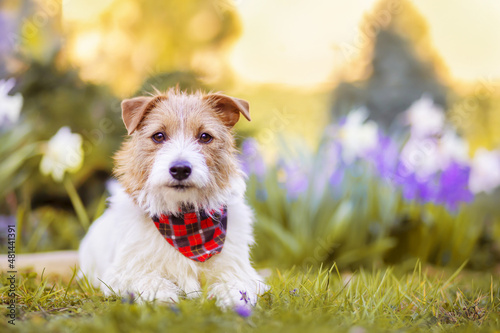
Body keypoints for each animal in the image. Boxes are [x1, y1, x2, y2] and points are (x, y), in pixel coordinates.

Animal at [78, 87, 268, 306]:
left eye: (205, 137)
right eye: (159, 136)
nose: (180, 169)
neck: (184, 222)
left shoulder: (239, 269)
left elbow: (236, 282)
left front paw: (234, 299)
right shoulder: (121, 273)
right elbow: (148, 278)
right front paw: (161, 296)